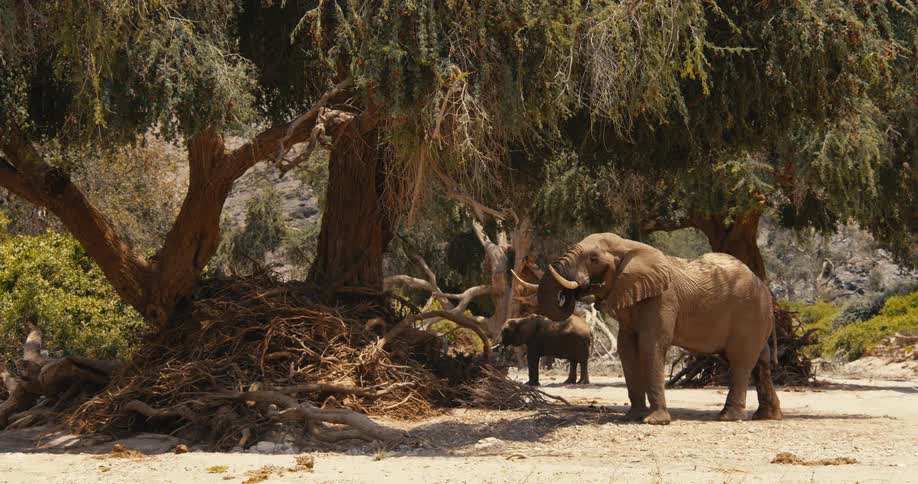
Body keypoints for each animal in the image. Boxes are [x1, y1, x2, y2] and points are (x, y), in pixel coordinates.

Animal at [532, 233, 782, 425]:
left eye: (593, 258)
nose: (575, 292)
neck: (628, 246)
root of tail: (766, 290)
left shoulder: (662, 299)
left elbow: (651, 345)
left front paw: (654, 421)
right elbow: (626, 348)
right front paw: (633, 417)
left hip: (749, 314)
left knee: (740, 359)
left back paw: (729, 417)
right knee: (760, 359)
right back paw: (767, 416)